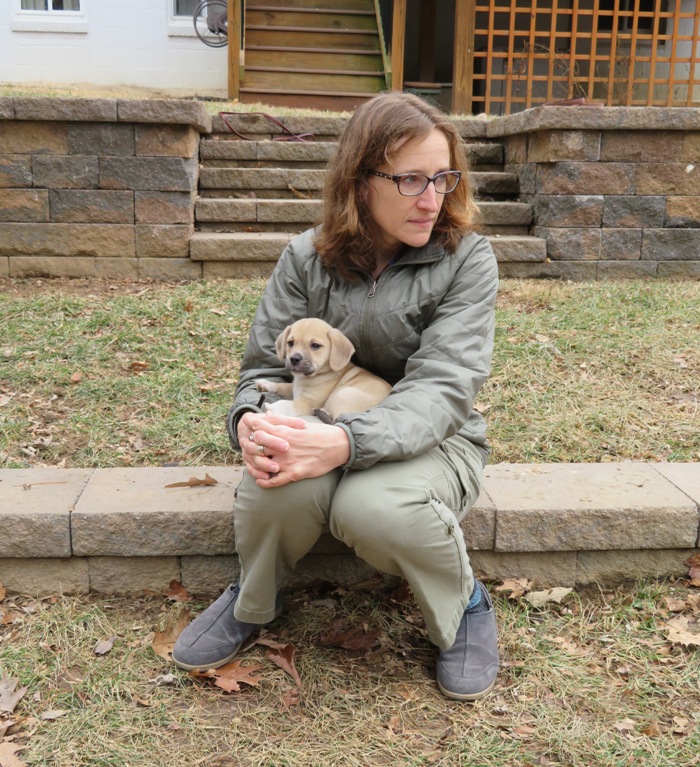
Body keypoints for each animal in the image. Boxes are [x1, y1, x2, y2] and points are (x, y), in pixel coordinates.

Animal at [254, 318, 392, 426]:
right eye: (290, 343)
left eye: (315, 345)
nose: (294, 359)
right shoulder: (295, 389)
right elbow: (283, 386)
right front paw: (266, 384)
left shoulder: (307, 403)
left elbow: (289, 404)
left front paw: (274, 406)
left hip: (344, 394)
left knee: (336, 421)